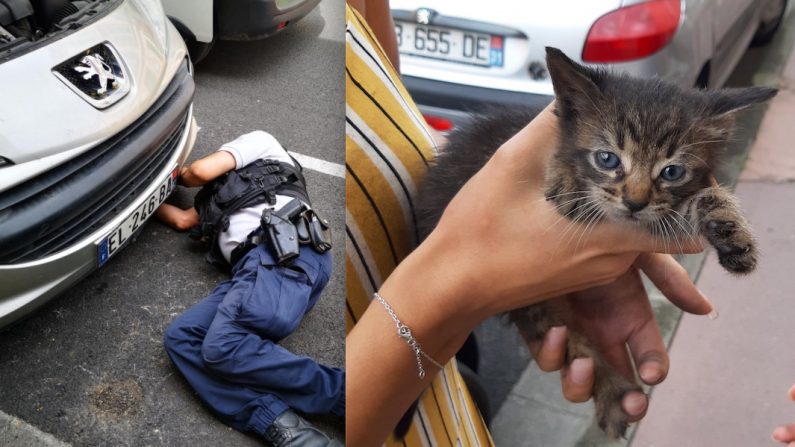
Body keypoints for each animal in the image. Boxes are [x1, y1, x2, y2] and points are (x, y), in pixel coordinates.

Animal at [416, 48, 776, 438]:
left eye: (672, 172)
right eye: (607, 158)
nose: (634, 203)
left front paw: (734, 233)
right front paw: (563, 176)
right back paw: (613, 391)